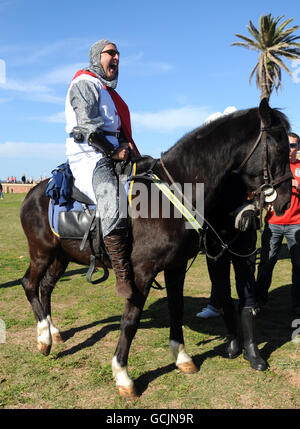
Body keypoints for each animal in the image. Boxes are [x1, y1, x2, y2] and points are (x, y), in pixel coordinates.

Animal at [20, 99, 290, 398]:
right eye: (280, 148)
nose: (286, 200)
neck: (170, 196)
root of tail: (33, 193)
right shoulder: (141, 273)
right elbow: (130, 320)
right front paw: (123, 375)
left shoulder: (176, 267)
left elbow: (176, 308)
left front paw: (182, 357)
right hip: (41, 253)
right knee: (29, 284)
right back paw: (44, 338)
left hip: (61, 257)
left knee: (46, 287)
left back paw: (53, 331)